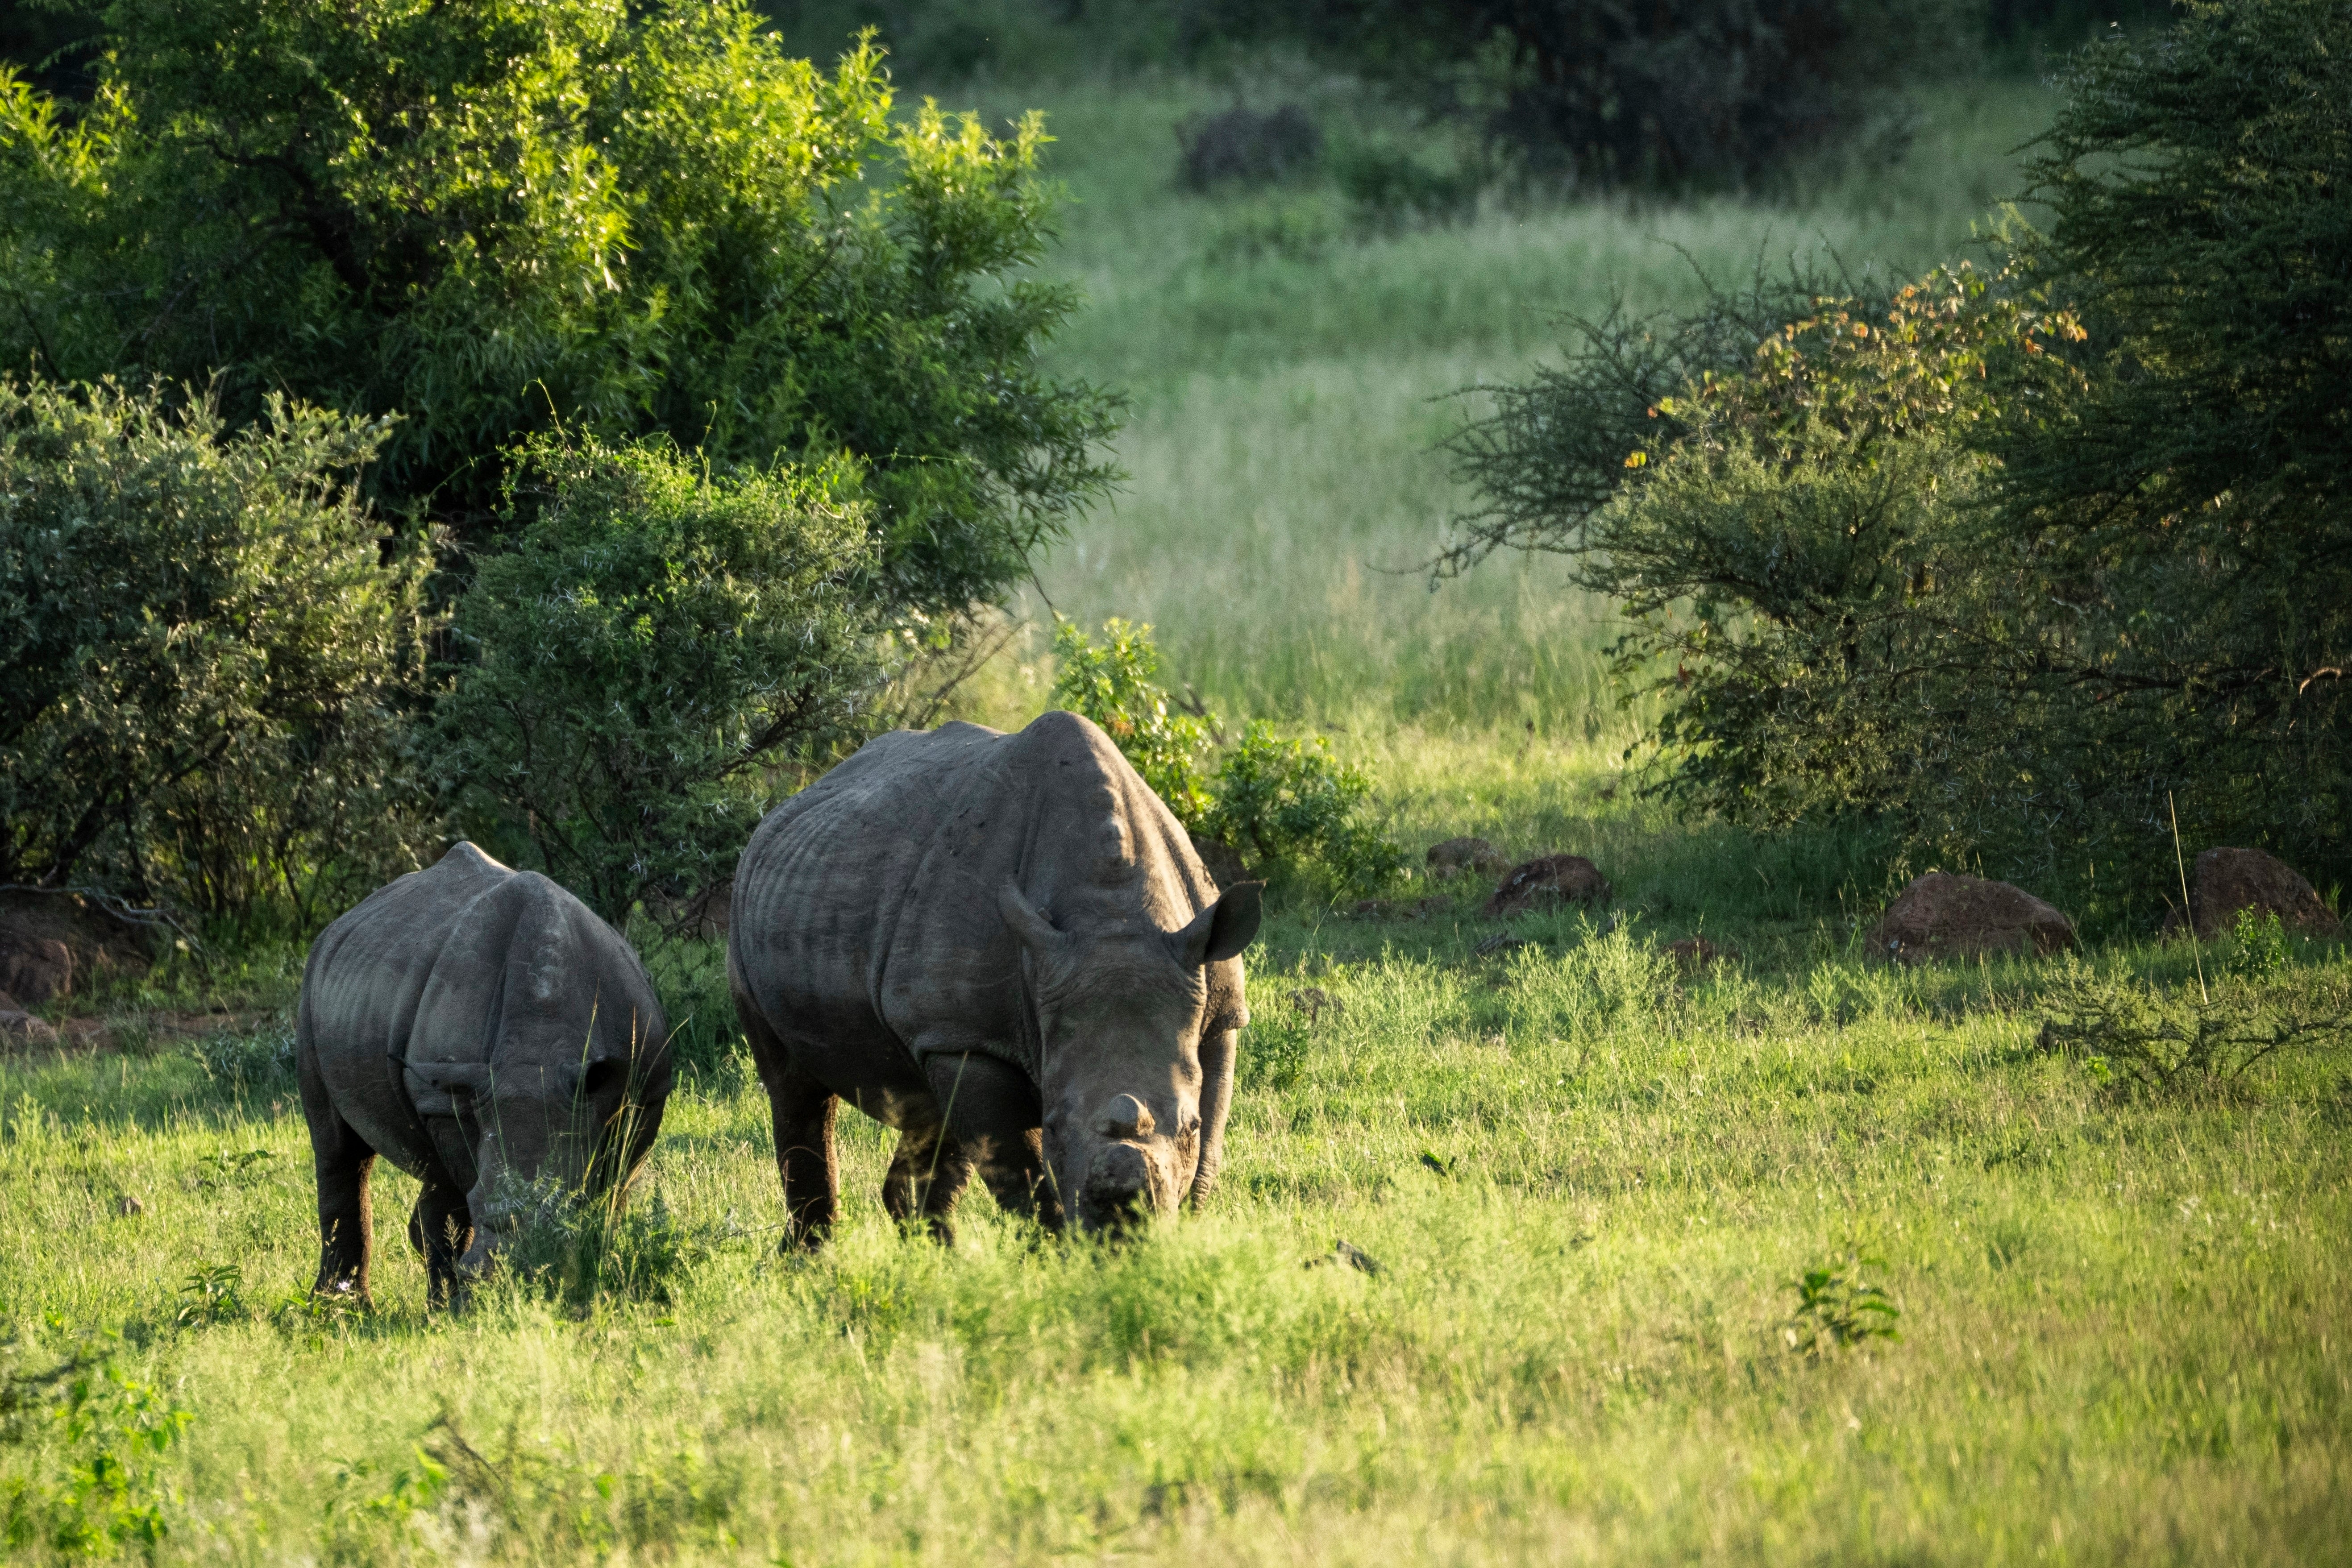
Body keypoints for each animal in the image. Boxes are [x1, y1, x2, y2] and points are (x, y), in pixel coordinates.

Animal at [296, 843, 672, 1304]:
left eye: (571, 1203)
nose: (501, 1281)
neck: (539, 1045)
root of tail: (334, 928)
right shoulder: (450, 1101)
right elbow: (462, 1186)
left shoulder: (641, 1093)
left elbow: (614, 1188)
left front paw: (600, 1262)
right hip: (313, 992)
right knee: (340, 1149)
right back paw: (344, 1307)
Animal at [728, 711, 1261, 1242]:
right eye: (1053, 1125)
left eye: (1189, 1125)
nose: (1122, 1226)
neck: (1115, 914)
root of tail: (784, 808)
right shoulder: (967, 1036)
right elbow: (1021, 1176)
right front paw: (1063, 1251)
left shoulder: (1218, 1014)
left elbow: (1208, 1150)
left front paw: (1177, 1234)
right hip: (754, 918)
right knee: (795, 1090)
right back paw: (816, 1255)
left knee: (929, 1110)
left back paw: (932, 1254)